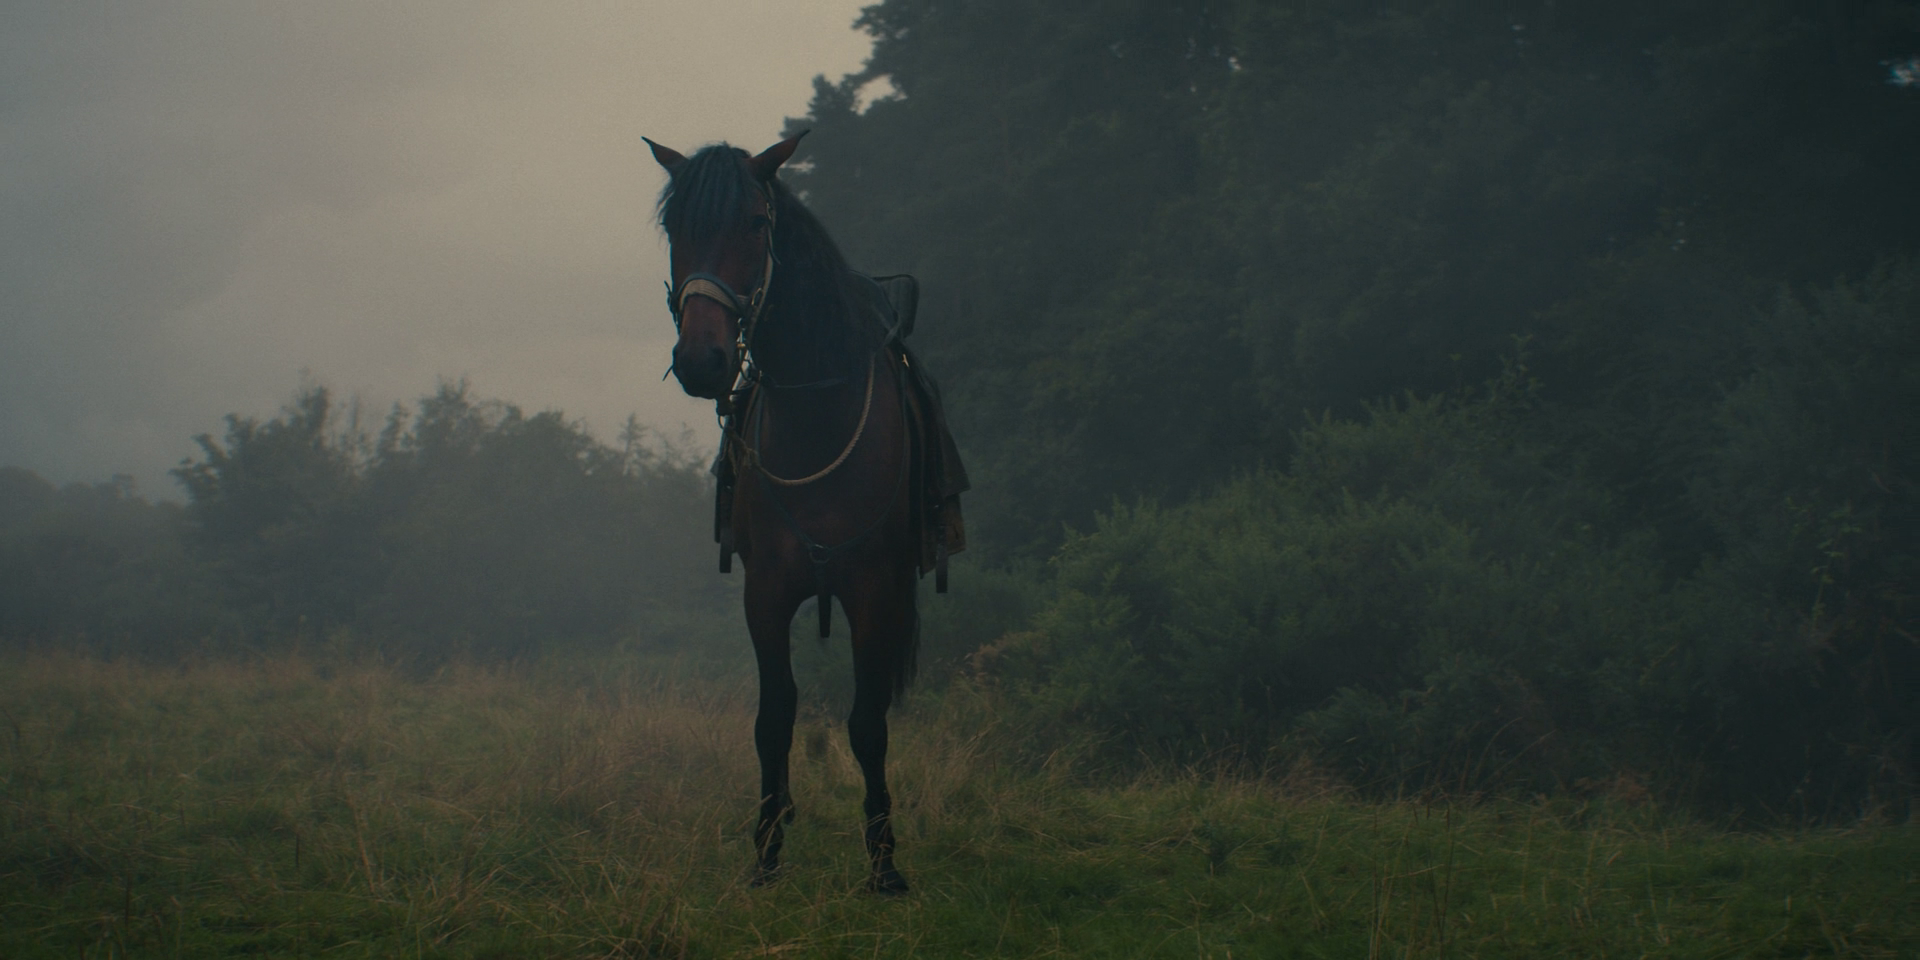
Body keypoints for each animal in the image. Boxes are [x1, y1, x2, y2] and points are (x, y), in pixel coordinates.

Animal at [645, 132, 928, 893]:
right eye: (674, 228)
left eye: (755, 223)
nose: (703, 360)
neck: (817, 415)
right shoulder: (765, 591)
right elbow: (774, 716)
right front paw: (766, 850)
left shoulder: (871, 590)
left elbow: (866, 723)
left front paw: (884, 862)